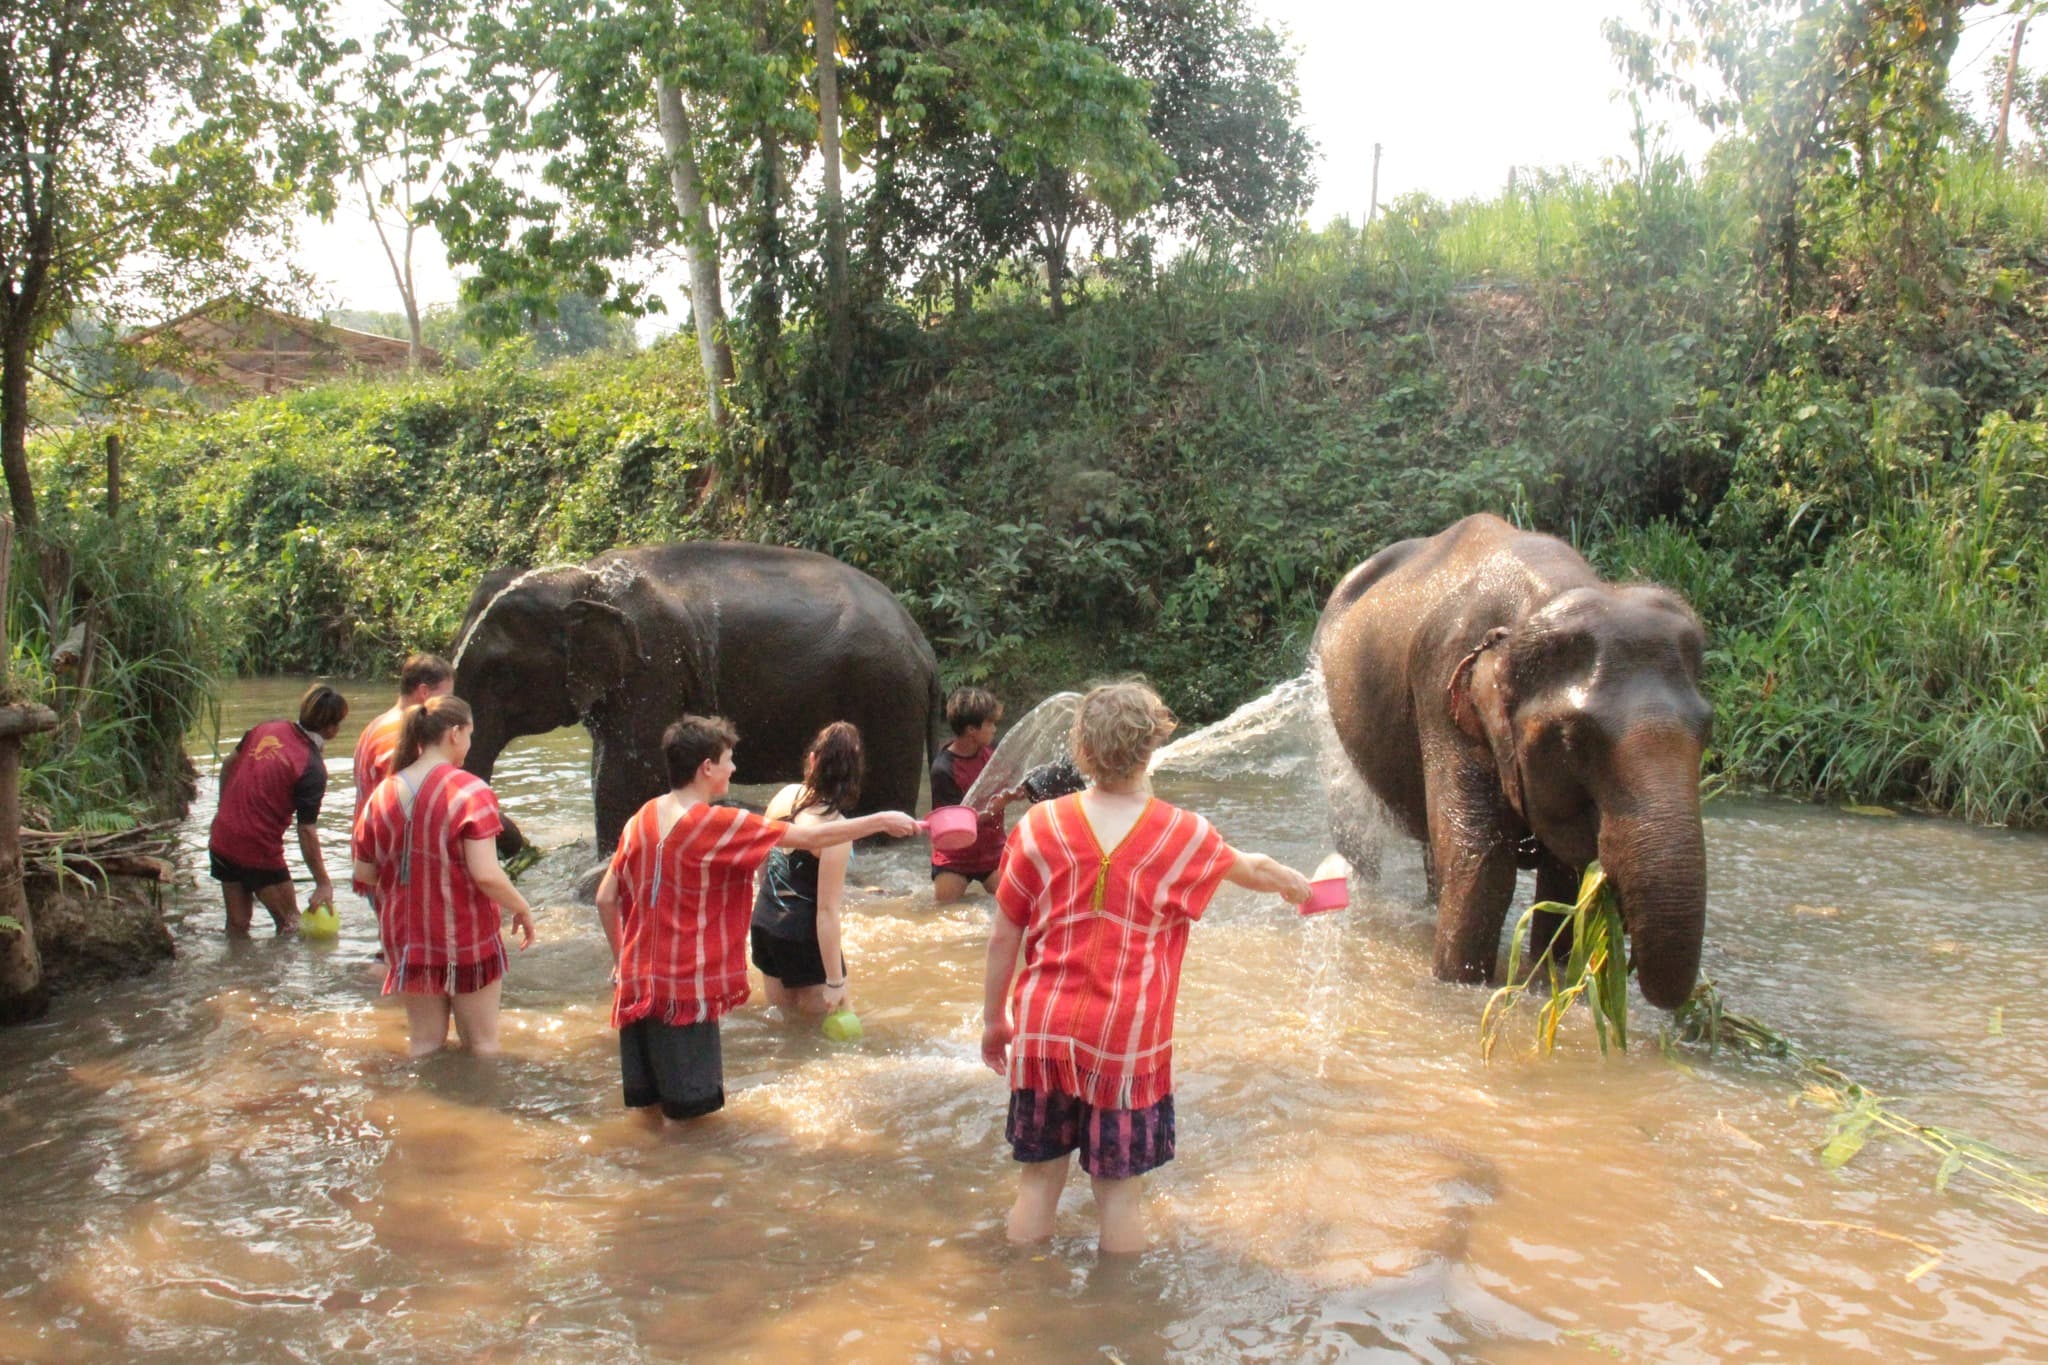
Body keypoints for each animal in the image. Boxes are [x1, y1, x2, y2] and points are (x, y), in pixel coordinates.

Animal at [451, 542, 945, 854]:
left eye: (499, 672)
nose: (521, 846)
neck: (582, 579)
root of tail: (923, 644)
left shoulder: (652, 662)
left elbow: (625, 773)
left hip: (885, 695)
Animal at [1315, 514, 1712, 1009]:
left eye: (1708, 731)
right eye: (1574, 738)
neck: (1542, 601)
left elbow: (1564, 875)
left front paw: (1547, 984)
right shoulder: (1441, 690)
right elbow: (1483, 863)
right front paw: (1460, 986)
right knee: (1359, 832)